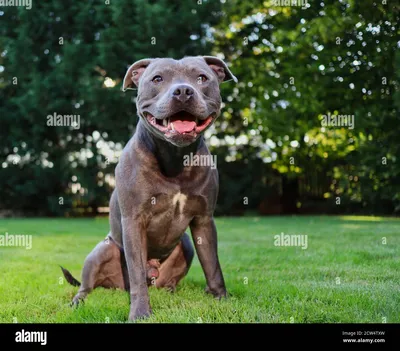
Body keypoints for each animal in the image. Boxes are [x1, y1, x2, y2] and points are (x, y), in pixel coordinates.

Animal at [61, 55, 236, 322]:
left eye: (202, 78)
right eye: (157, 79)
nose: (183, 91)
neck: (175, 158)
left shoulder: (204, 220)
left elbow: (213, 265)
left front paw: (221, 299)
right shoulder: (134, 221)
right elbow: (136, 275)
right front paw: (140, 313)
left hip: (185, 244)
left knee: (170, 279)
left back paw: (172, 292)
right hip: (103, 250)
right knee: (86, 285)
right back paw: (78, 301)